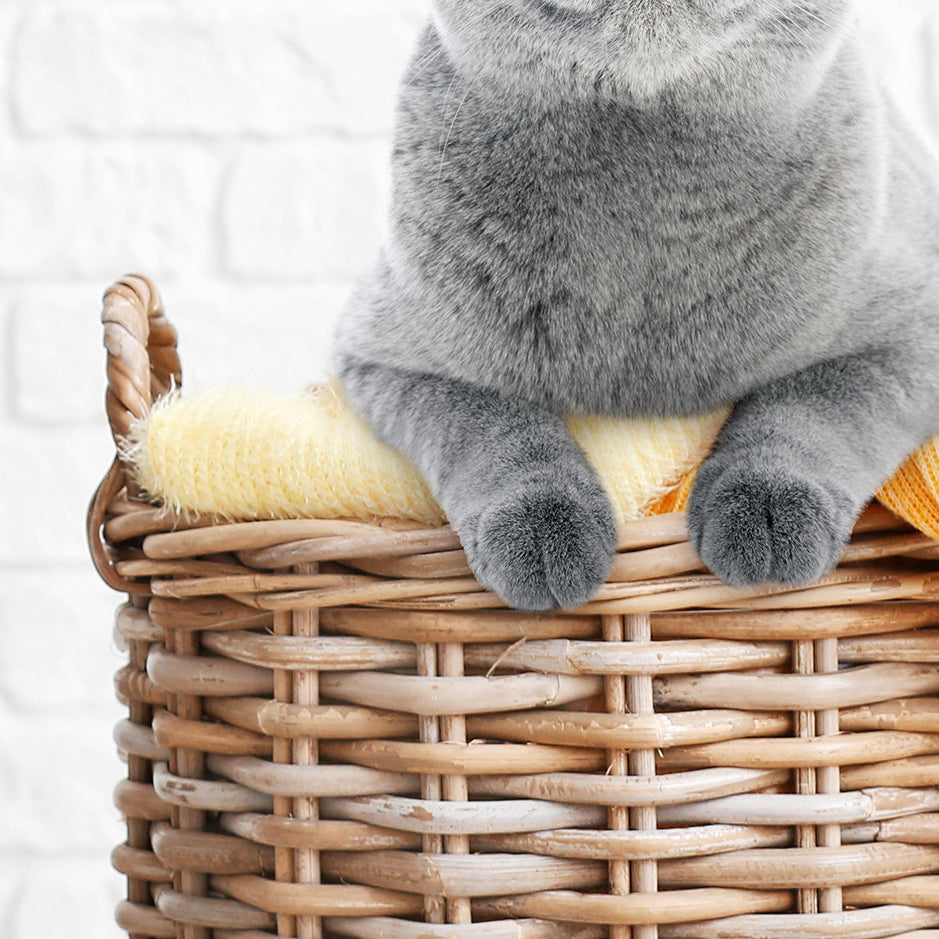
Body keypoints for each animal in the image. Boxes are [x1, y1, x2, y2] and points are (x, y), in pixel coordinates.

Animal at [332, 0, 939, 612]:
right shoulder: (387, 352)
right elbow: (491, 423)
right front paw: (545, 533)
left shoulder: (914, 332)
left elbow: (809, 403)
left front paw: (766, 512)